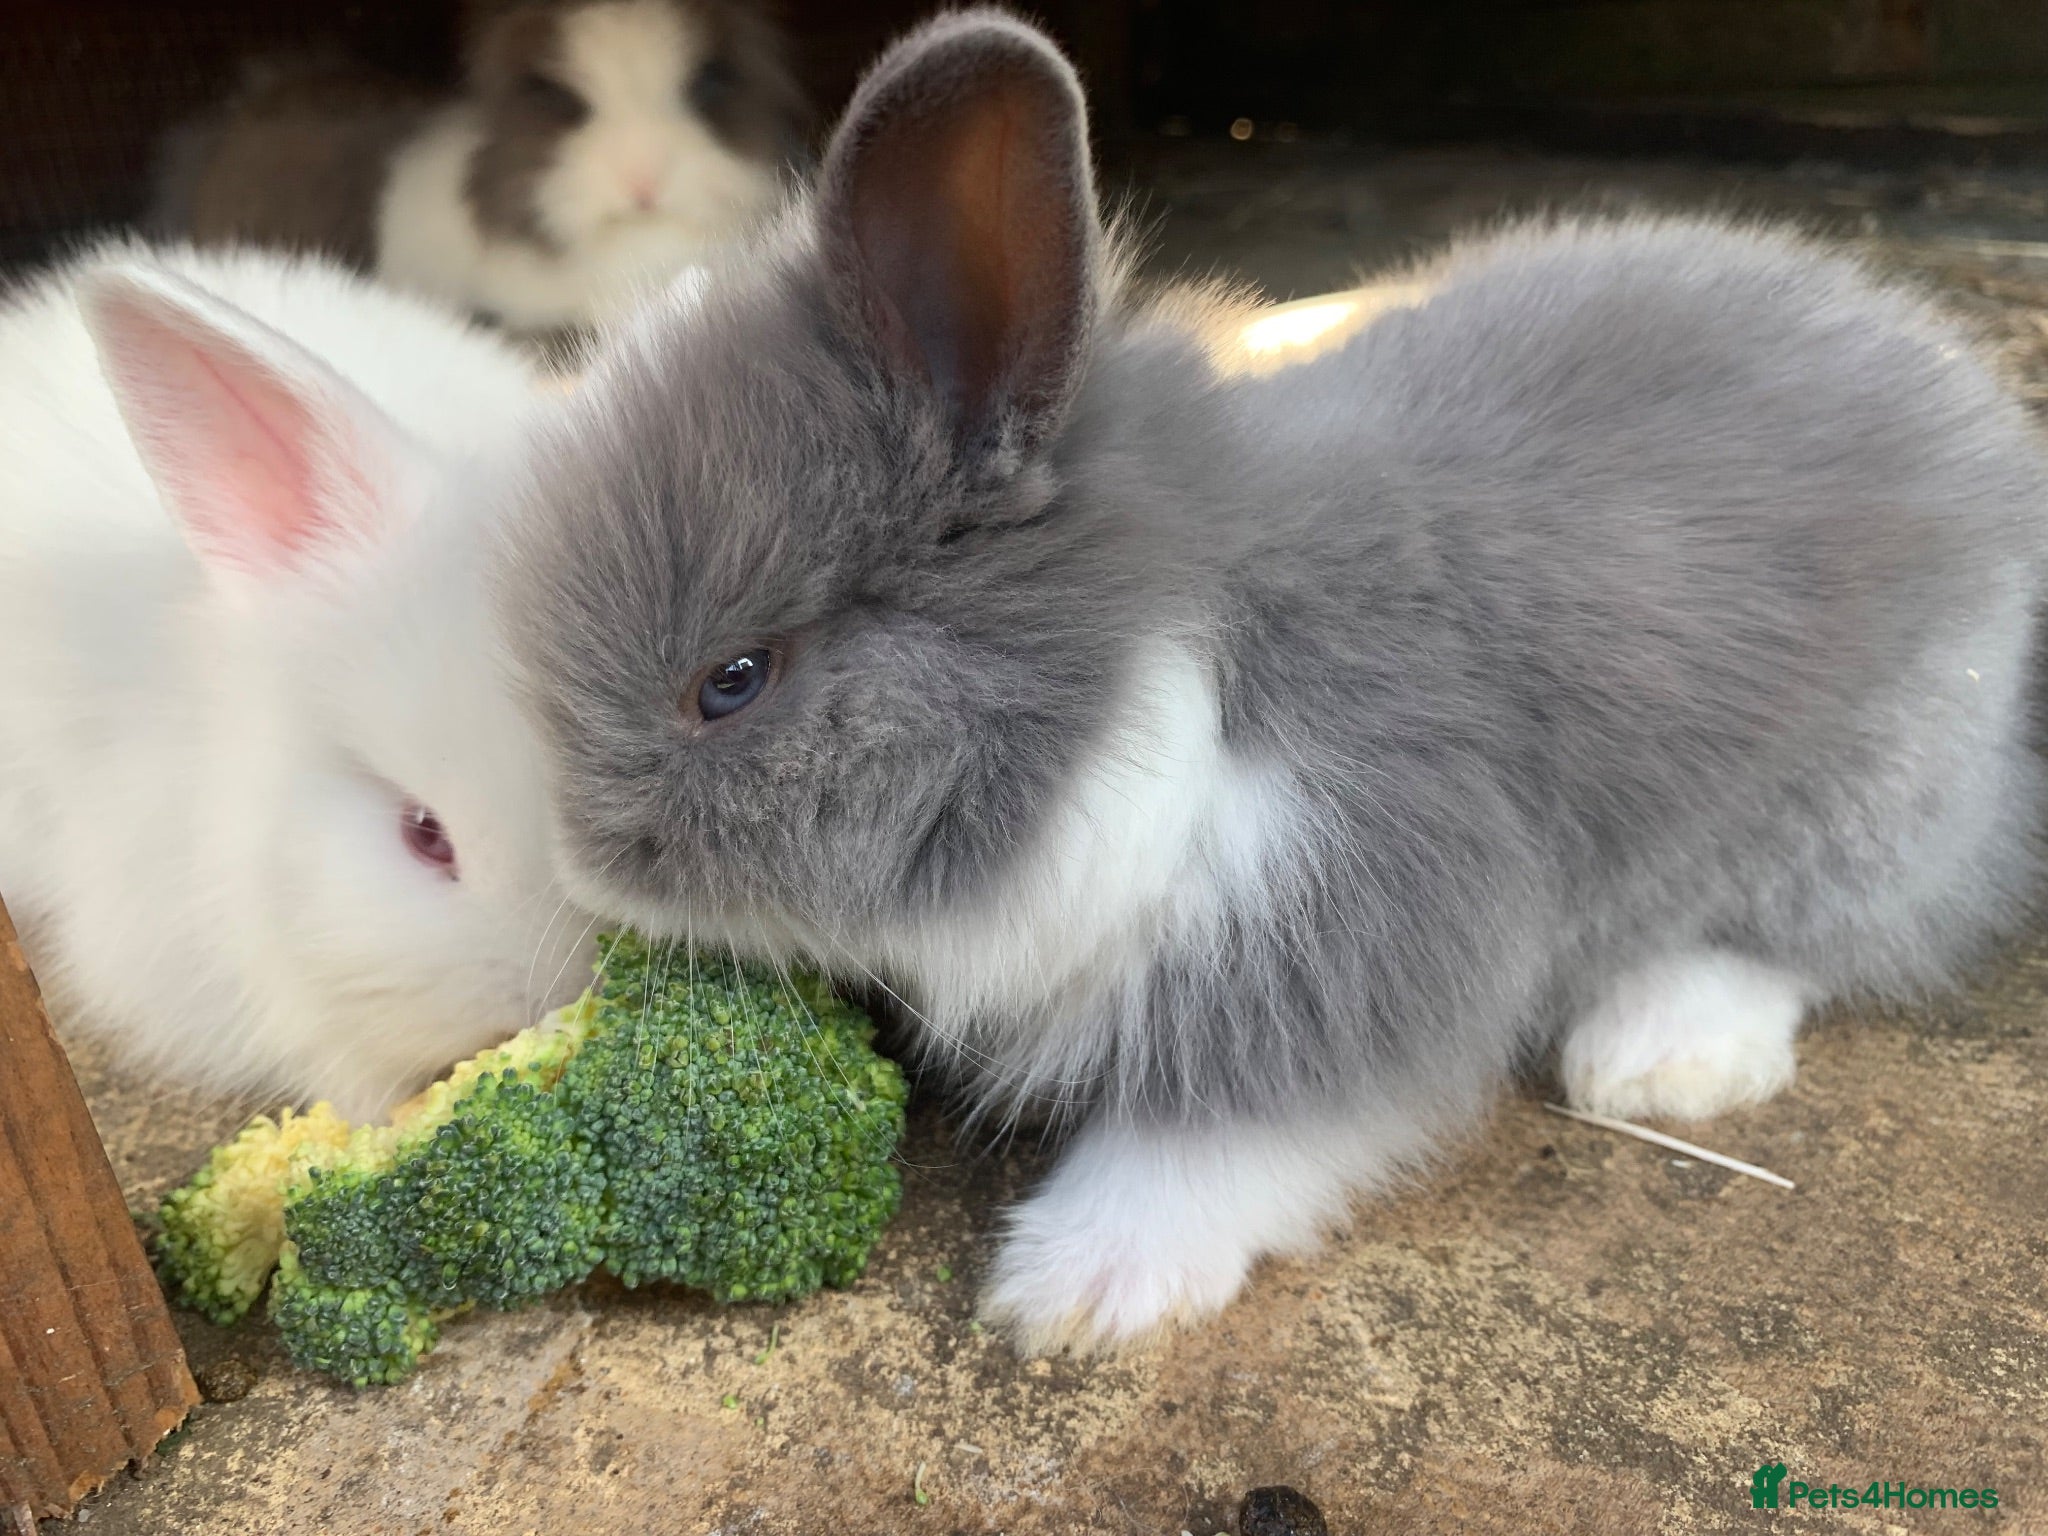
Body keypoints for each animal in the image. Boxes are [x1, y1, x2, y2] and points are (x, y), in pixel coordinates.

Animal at [497, 10, 2048, 1353]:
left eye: (734, 679)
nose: (578, 868)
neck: (1139, 672)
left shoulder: (1358, 913)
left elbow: (1228, 1127)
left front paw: (1078, 1288)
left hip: (1871, 786)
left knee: (1824, 934)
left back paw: (1656, 1055)